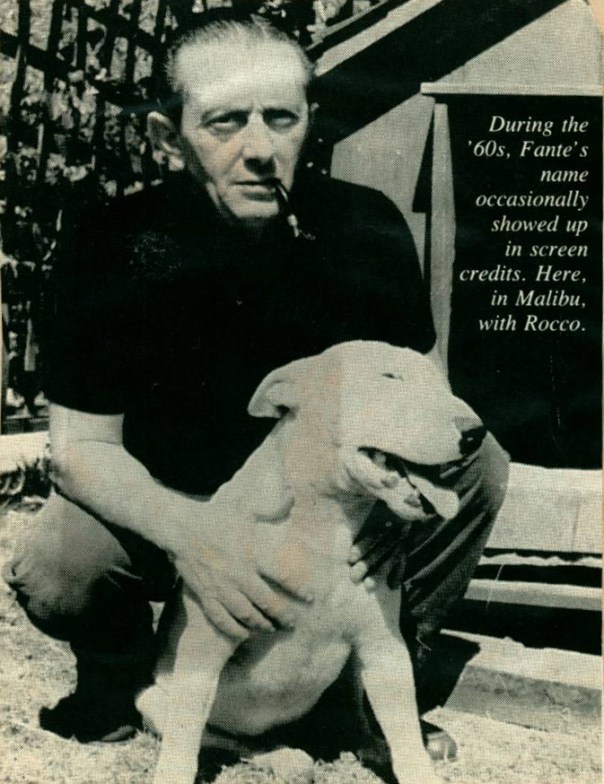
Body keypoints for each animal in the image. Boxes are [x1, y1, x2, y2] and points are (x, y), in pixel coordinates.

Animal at [136, 341, 485, 784]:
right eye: (389, 378)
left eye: (444, 385)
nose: (475, 432)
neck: (324, 523)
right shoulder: (207, 640)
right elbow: (186, 732)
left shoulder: (383, 645)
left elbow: (404, 729)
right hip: (154, 700)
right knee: (224, 738)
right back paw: (281, 755)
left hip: (351, 674)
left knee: (354, 716)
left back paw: (370, 745)